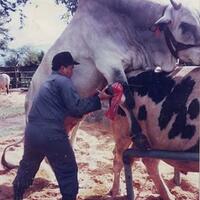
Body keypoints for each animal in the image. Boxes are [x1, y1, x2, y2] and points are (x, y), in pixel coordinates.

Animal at [111, 66, 199, 199]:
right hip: (122, 130)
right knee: (118, 159)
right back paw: (116, 191)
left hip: (156, 139)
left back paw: (168, 195)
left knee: (147, 161)